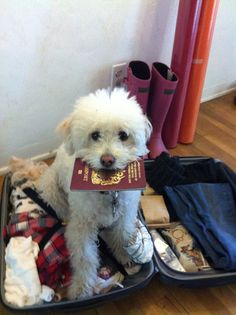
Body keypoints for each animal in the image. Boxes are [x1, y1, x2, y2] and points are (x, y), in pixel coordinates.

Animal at [37, 87, 151, 300]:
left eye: (123, 135)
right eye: (95, 135)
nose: (107, 160)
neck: (108, 192)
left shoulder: (125, 215)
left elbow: (122, 236)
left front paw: (125, 256)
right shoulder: (81, 228)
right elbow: (85, 259)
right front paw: (81, 289)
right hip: (51, 189)